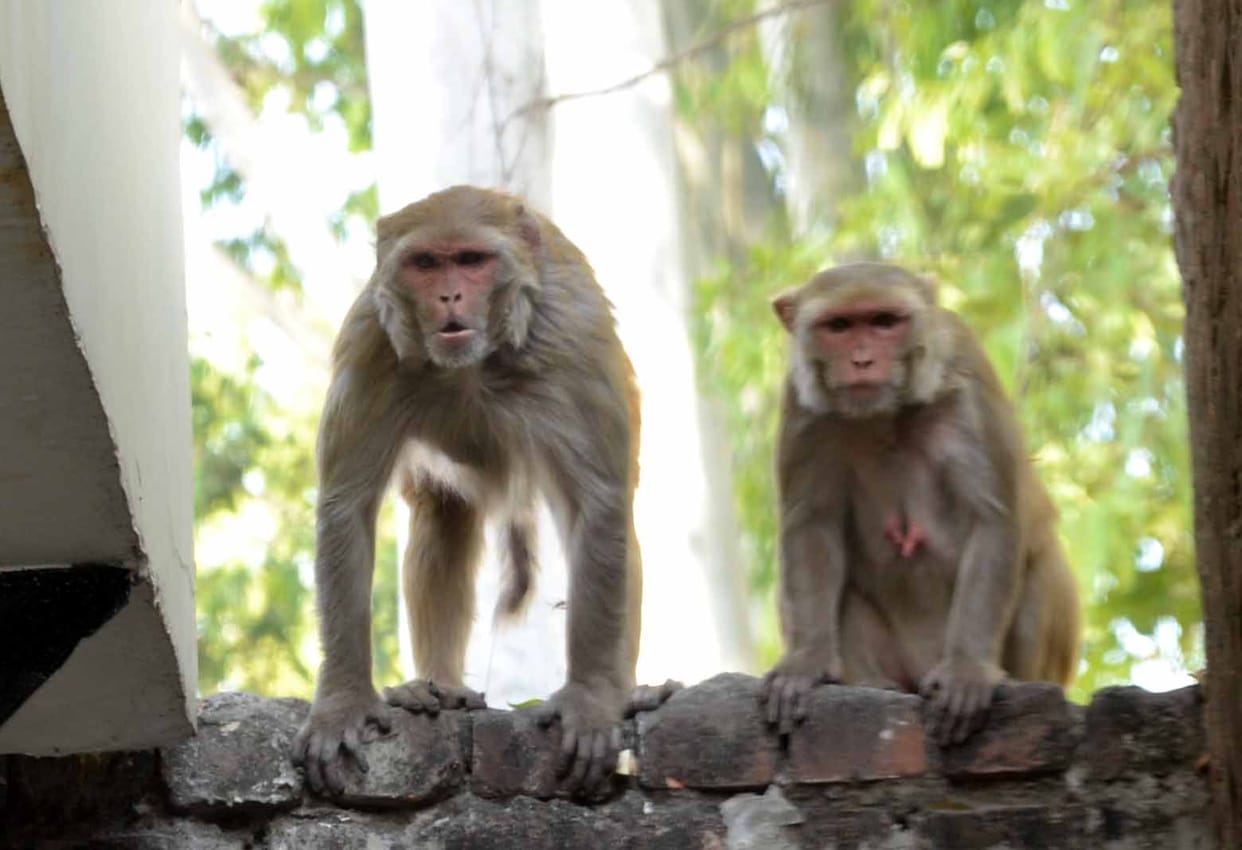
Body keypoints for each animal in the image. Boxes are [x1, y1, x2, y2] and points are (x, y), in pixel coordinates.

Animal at [292, 185, 669, 797]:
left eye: (471, 260)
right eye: (426, 264)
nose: (449, 294)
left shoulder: (574, 339)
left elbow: (598, 504)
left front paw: (590, 699)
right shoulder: (371, 339)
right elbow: (347, 505)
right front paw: (343, 701)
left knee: (611, 531)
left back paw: (623, 689)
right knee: (444, 516)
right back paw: (438, 687)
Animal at [759, 261, 1081, 744]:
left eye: (884, 321)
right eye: (839, 326)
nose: (862, 360)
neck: (886, 413)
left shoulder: (967, 369)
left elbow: (993, 519)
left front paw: (967, 670)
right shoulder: (801, 402)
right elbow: (811, 525)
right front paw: (808, 661)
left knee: (1043, 564)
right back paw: (872, 683)